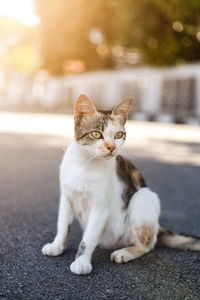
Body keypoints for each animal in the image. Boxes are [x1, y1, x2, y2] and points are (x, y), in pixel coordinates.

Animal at [41, 94, 200, 274]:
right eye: (96, 134)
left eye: (118, 135)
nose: (111, 147)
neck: (86, 164)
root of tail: (158, 227)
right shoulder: (67, 198)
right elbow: (62, 225)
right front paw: (57, 246)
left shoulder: (100, 207)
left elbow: (88, 237)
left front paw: (81, 261)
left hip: (143, 196)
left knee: (148, 244)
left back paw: (125, 253)